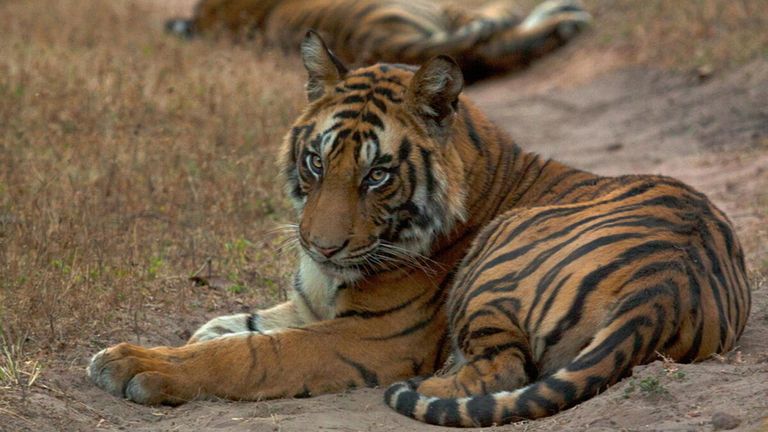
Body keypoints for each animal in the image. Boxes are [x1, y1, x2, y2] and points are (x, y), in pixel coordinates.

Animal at [87, 31, 751, 427]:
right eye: (316, 162)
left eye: (378, 174)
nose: (320, 245)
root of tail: (663, 288)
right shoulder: (313, 301)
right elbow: (235, 323)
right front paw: (197, 332)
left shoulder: (375, 337)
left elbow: (254, 351)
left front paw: (135, 365)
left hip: (497, 262)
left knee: (503, 369)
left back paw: (431, 385)